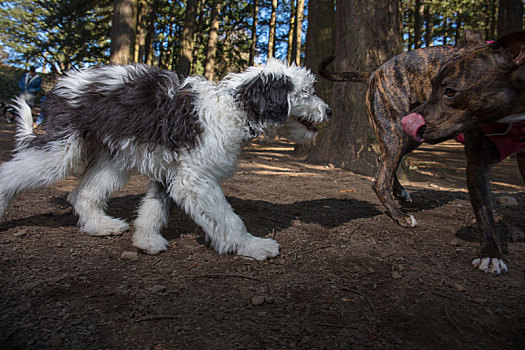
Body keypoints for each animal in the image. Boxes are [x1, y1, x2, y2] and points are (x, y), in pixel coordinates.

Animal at [0, 60, 330, 260]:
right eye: (307, 92)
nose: (329, 111)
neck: (234, 106)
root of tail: (61, 84)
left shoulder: (173, 172)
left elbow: (153, 209)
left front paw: (145, 240)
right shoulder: (195, 179)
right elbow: (228, 218)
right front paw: (251, 246)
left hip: (112, 159)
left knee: (83, 193)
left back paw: (100, 225)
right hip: (61, 151)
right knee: (11, 173)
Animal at [318, 30, 524, 274]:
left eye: (450, 91)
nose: (416, 116)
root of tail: (375, 73)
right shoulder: (477, 163)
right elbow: (485, 212)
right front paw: (491, 254)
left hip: (411, 135)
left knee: (384, 160)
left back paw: (400, 192)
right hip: (397, 130)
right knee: (380, 179)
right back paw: (400, 216)